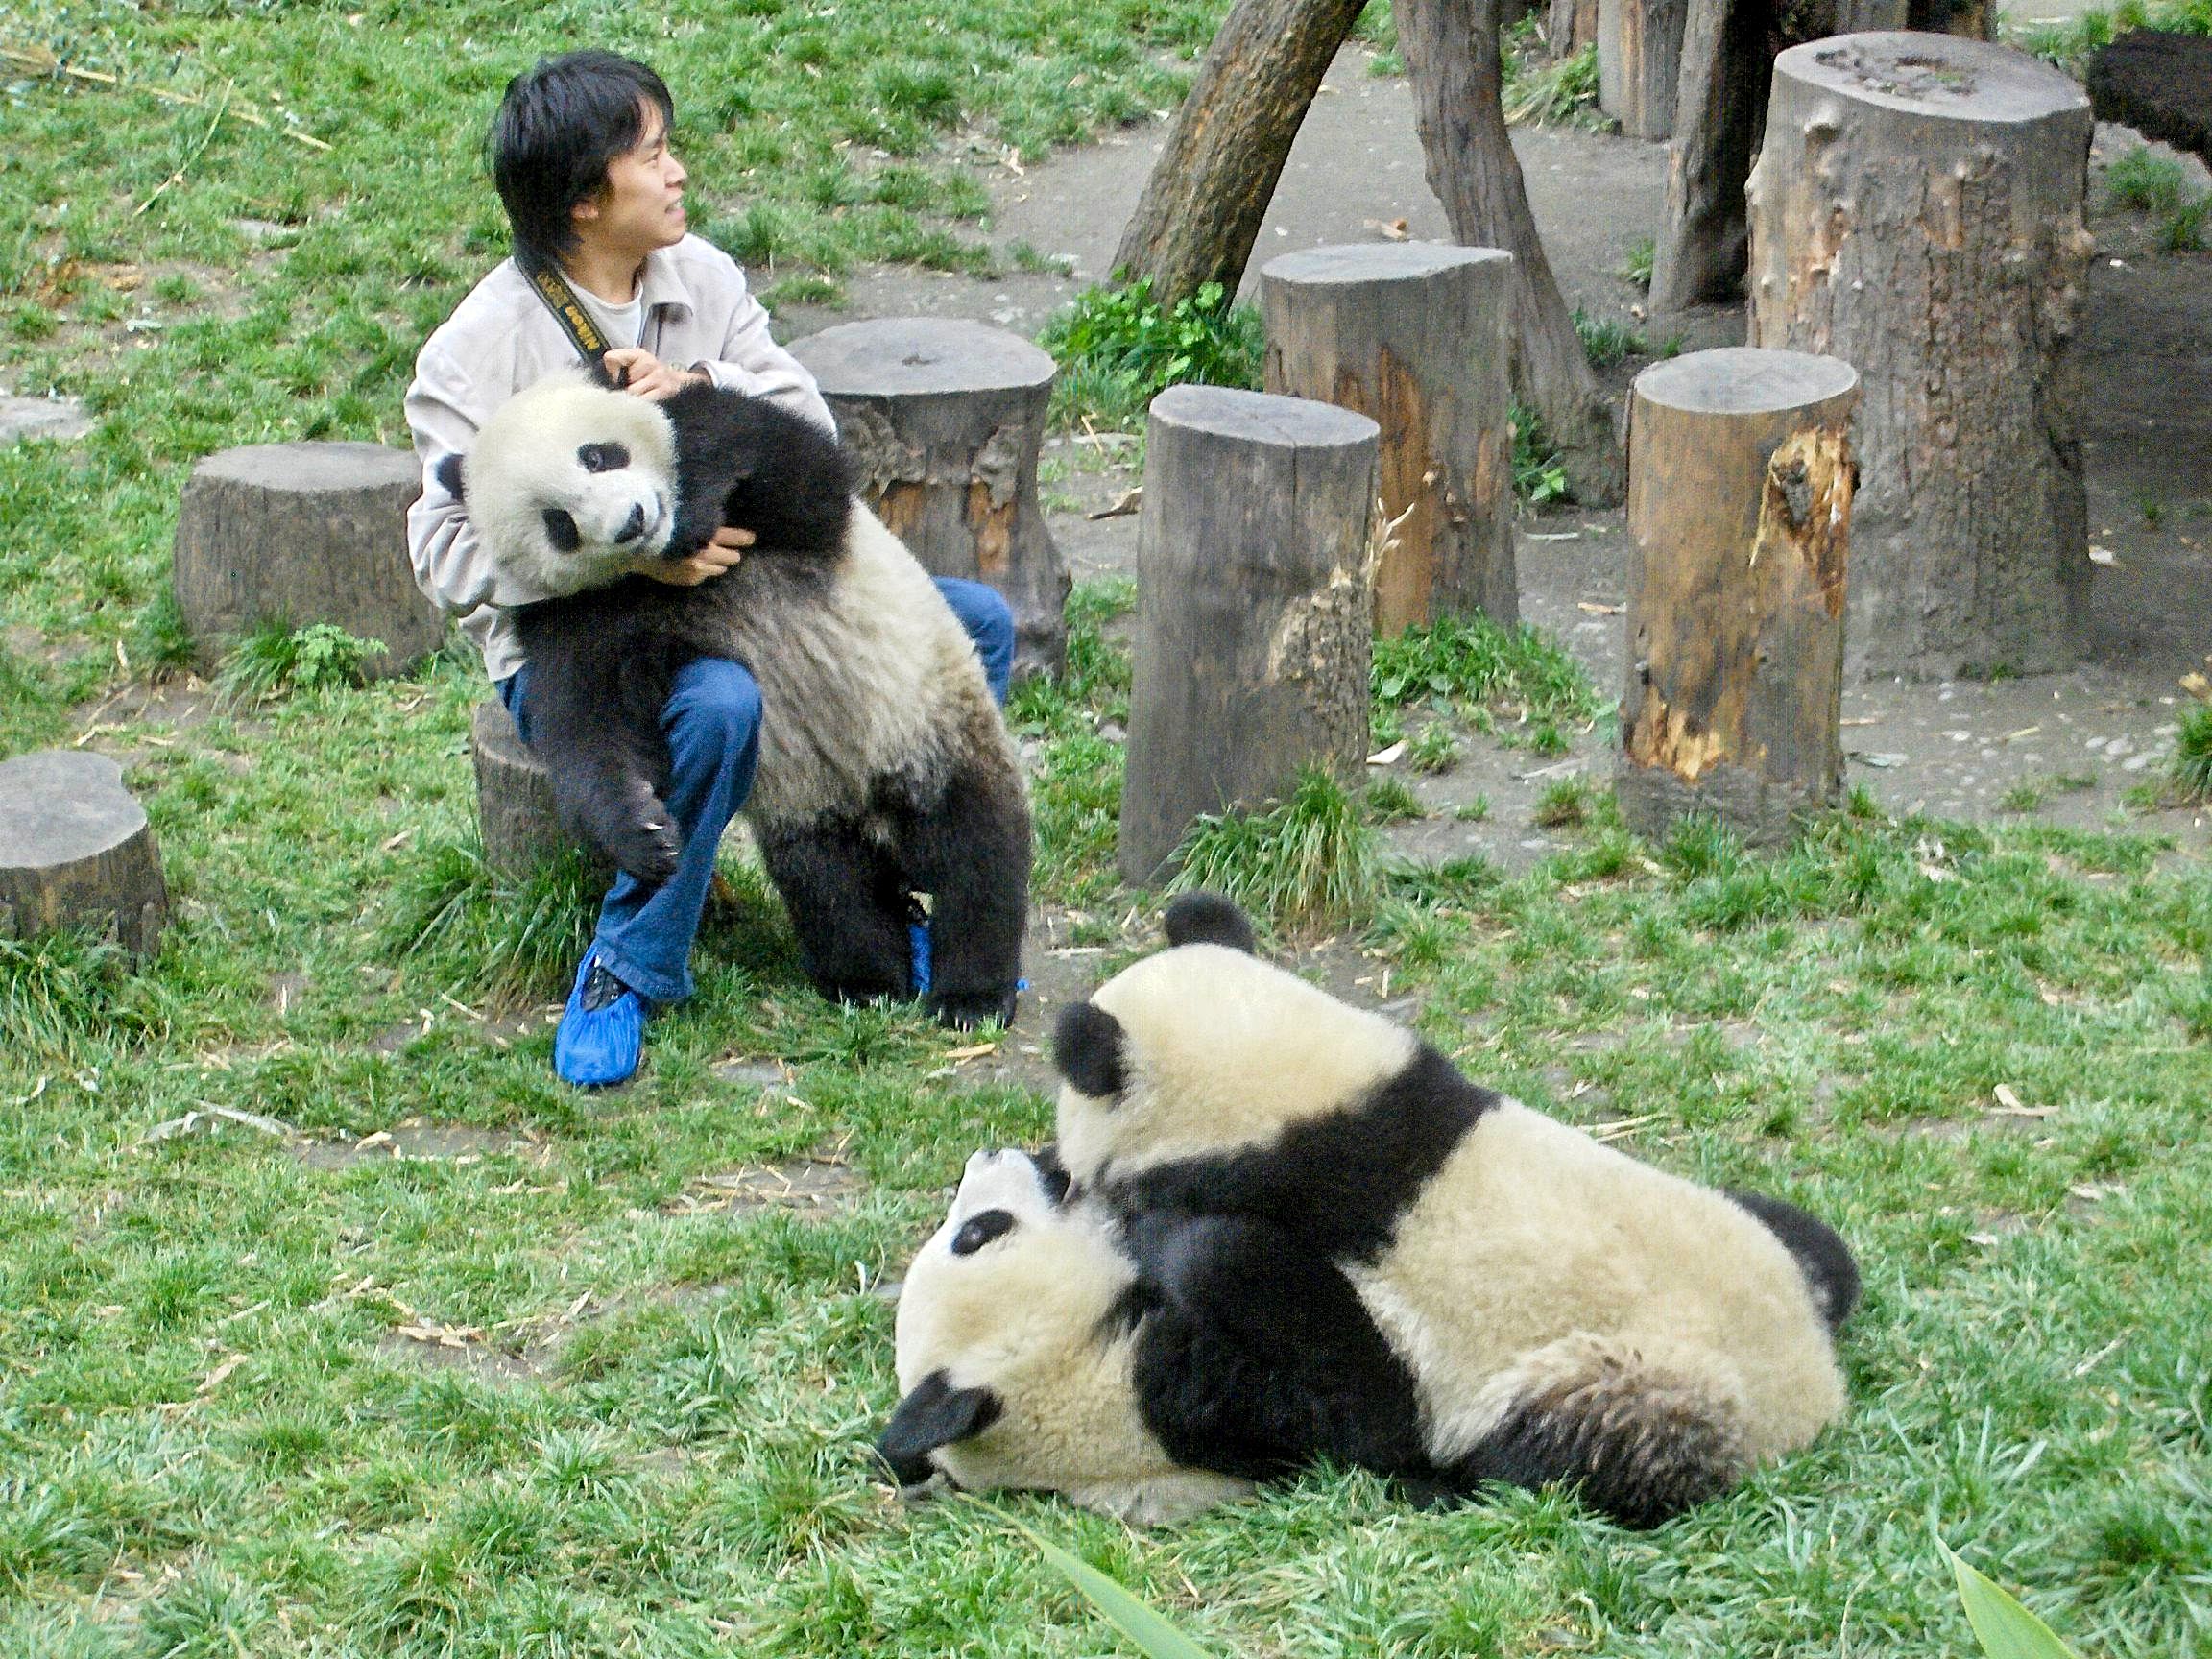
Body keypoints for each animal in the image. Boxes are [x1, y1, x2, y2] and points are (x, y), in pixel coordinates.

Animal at [1047, 892, 1860, 1528]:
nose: (1065, 1185)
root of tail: (1814, 1396)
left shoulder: (1355, 1240)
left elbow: (1328, 1358)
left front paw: (1162, 1234)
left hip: (1635, 1376)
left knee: (1571, 1449)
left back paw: (1461, 1482)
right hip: (1752, 1233)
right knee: (1821, 1249)